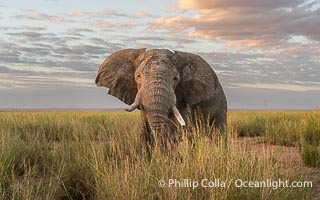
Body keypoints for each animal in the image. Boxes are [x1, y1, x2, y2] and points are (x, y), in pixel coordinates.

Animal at [95, 48, 228, 148]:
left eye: (175, 79)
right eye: (138, 76)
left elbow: (174, 129)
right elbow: (145, 129)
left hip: (221, 104)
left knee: (218, 133)